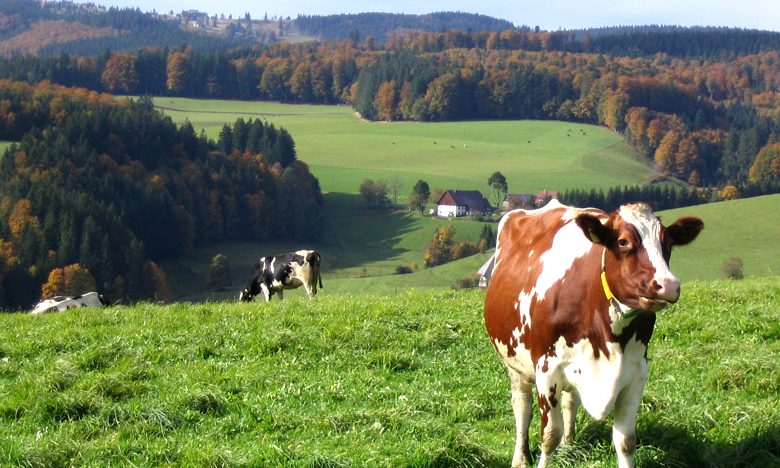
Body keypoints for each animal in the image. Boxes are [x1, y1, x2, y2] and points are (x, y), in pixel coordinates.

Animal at [484, 201, 704, 468]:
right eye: (623, 242)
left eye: (668, 243)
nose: (668, 284)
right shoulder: (546, 370)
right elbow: (549, 436)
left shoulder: (636, 372)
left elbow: (626, 440)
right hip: (514, 360)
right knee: (521, 406)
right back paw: (521, 457)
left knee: (570, 401)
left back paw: (569, 444)